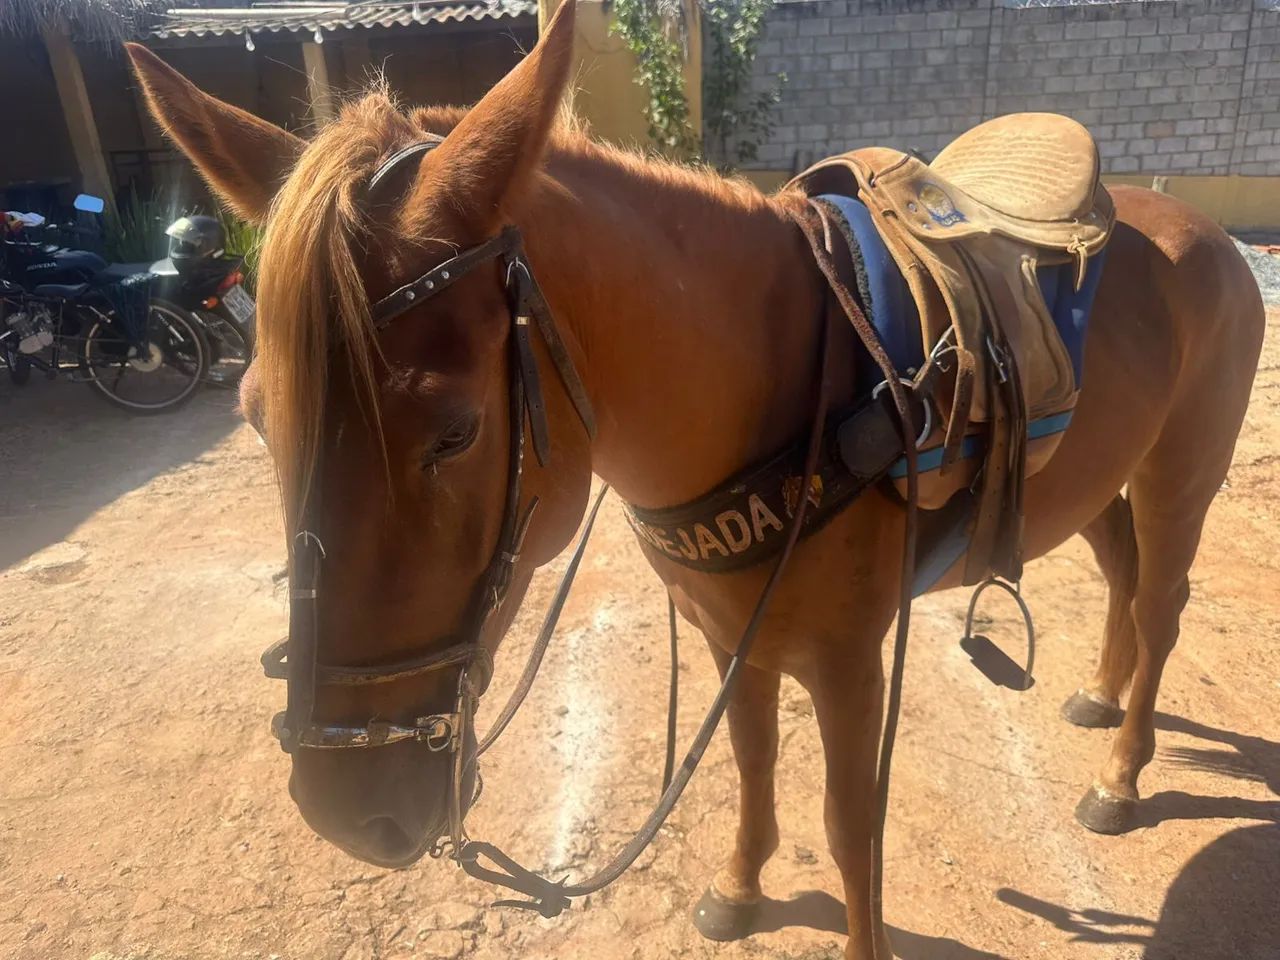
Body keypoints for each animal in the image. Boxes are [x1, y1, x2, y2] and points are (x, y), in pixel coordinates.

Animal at [125, 3, 1264, 957]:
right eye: (255, 418)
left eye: (453, 434)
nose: (347, 808)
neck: (780, 376)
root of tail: (1207, 234)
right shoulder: (730, 629)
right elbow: (749, 756)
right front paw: (740, 890)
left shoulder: (851, 661)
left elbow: (850, 827)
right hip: (1105, 481)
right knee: (1119, 574)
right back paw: (1099, 696)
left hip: (1181, 476)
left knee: (1160, 603)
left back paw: (1122, 772)